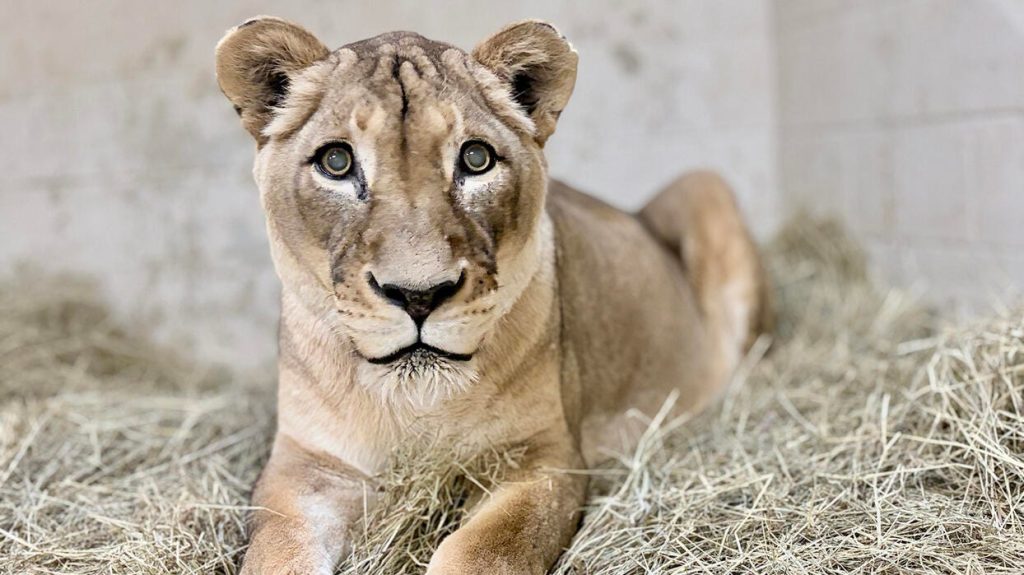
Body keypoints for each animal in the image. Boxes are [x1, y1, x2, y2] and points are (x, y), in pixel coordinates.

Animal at [215, 16, 772, 575]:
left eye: (476, 159)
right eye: (336, 162)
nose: (419, 295)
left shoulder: (545, 459)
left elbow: (482, 548)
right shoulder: (304, 465)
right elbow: (280, 550)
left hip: (704, 185)